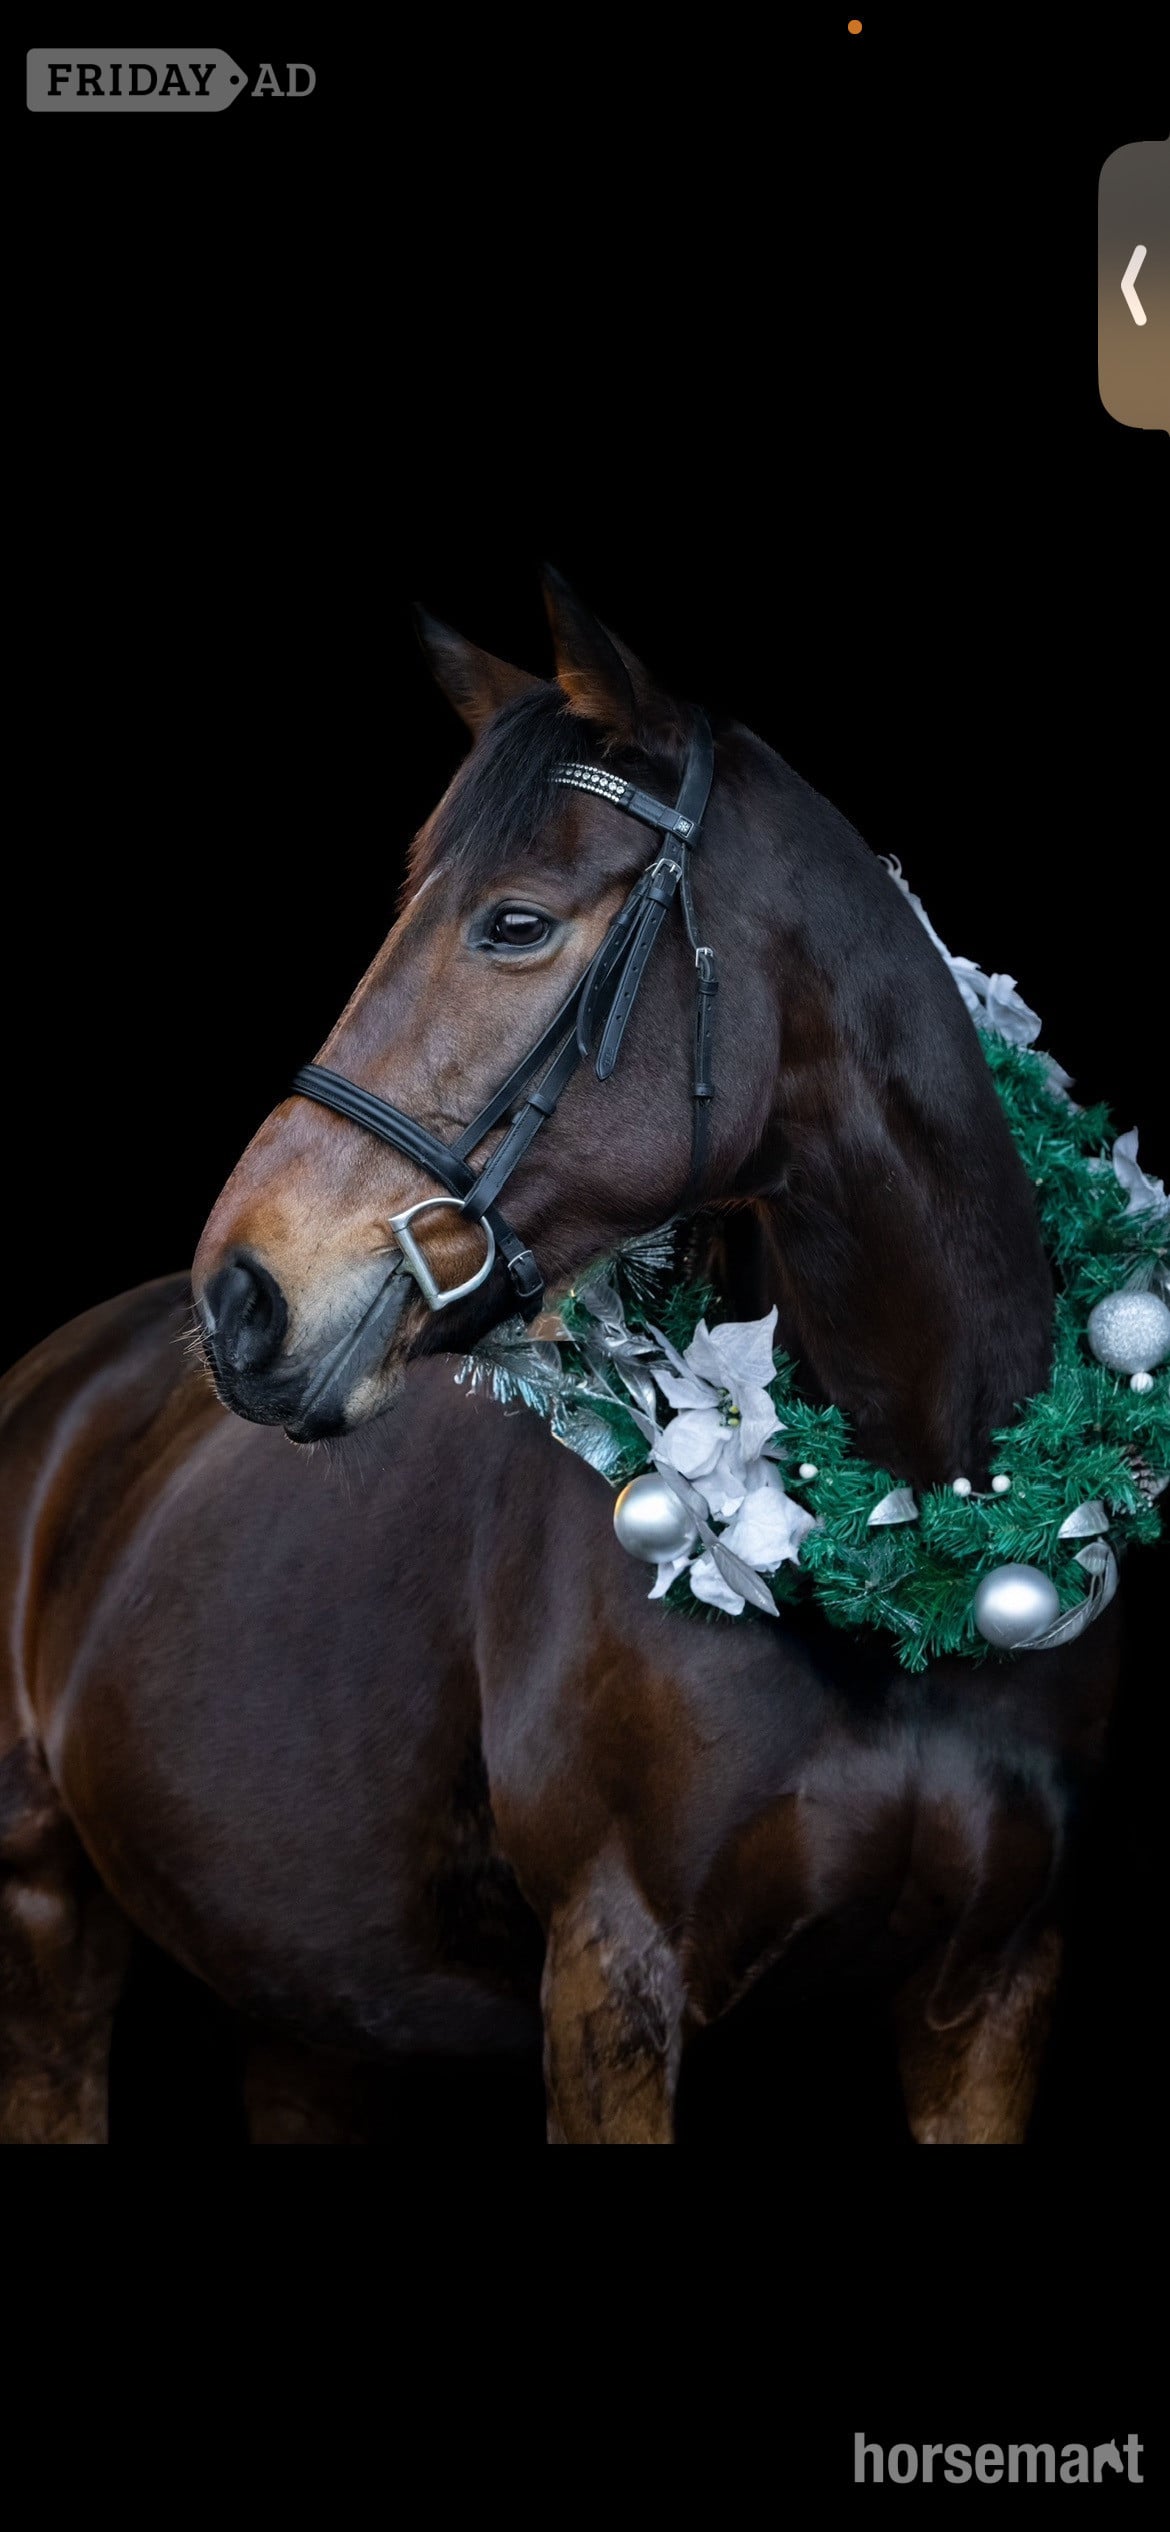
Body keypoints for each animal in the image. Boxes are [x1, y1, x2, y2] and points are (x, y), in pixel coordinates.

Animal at [0, 571, 1117, 2144]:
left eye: (515, 924)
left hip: (303, 2007)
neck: (906, 1562)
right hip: (44, 1917)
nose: (243, 1299)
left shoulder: (999, 1991)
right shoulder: (612, 1974)